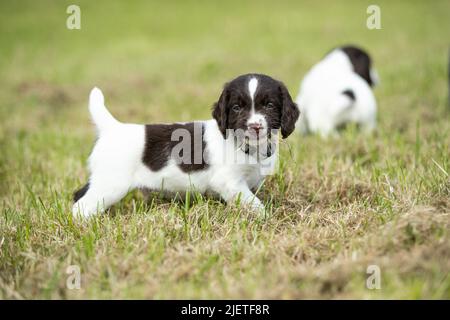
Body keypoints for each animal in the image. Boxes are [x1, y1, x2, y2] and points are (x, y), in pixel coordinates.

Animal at [73, 73, 298, 218]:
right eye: (236, 107)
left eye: (269, 105)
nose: (255, 126)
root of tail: (113, 127)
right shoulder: (229, 182)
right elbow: (254, 203)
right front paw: (266, 217)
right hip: (111, 185)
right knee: (81, 206)